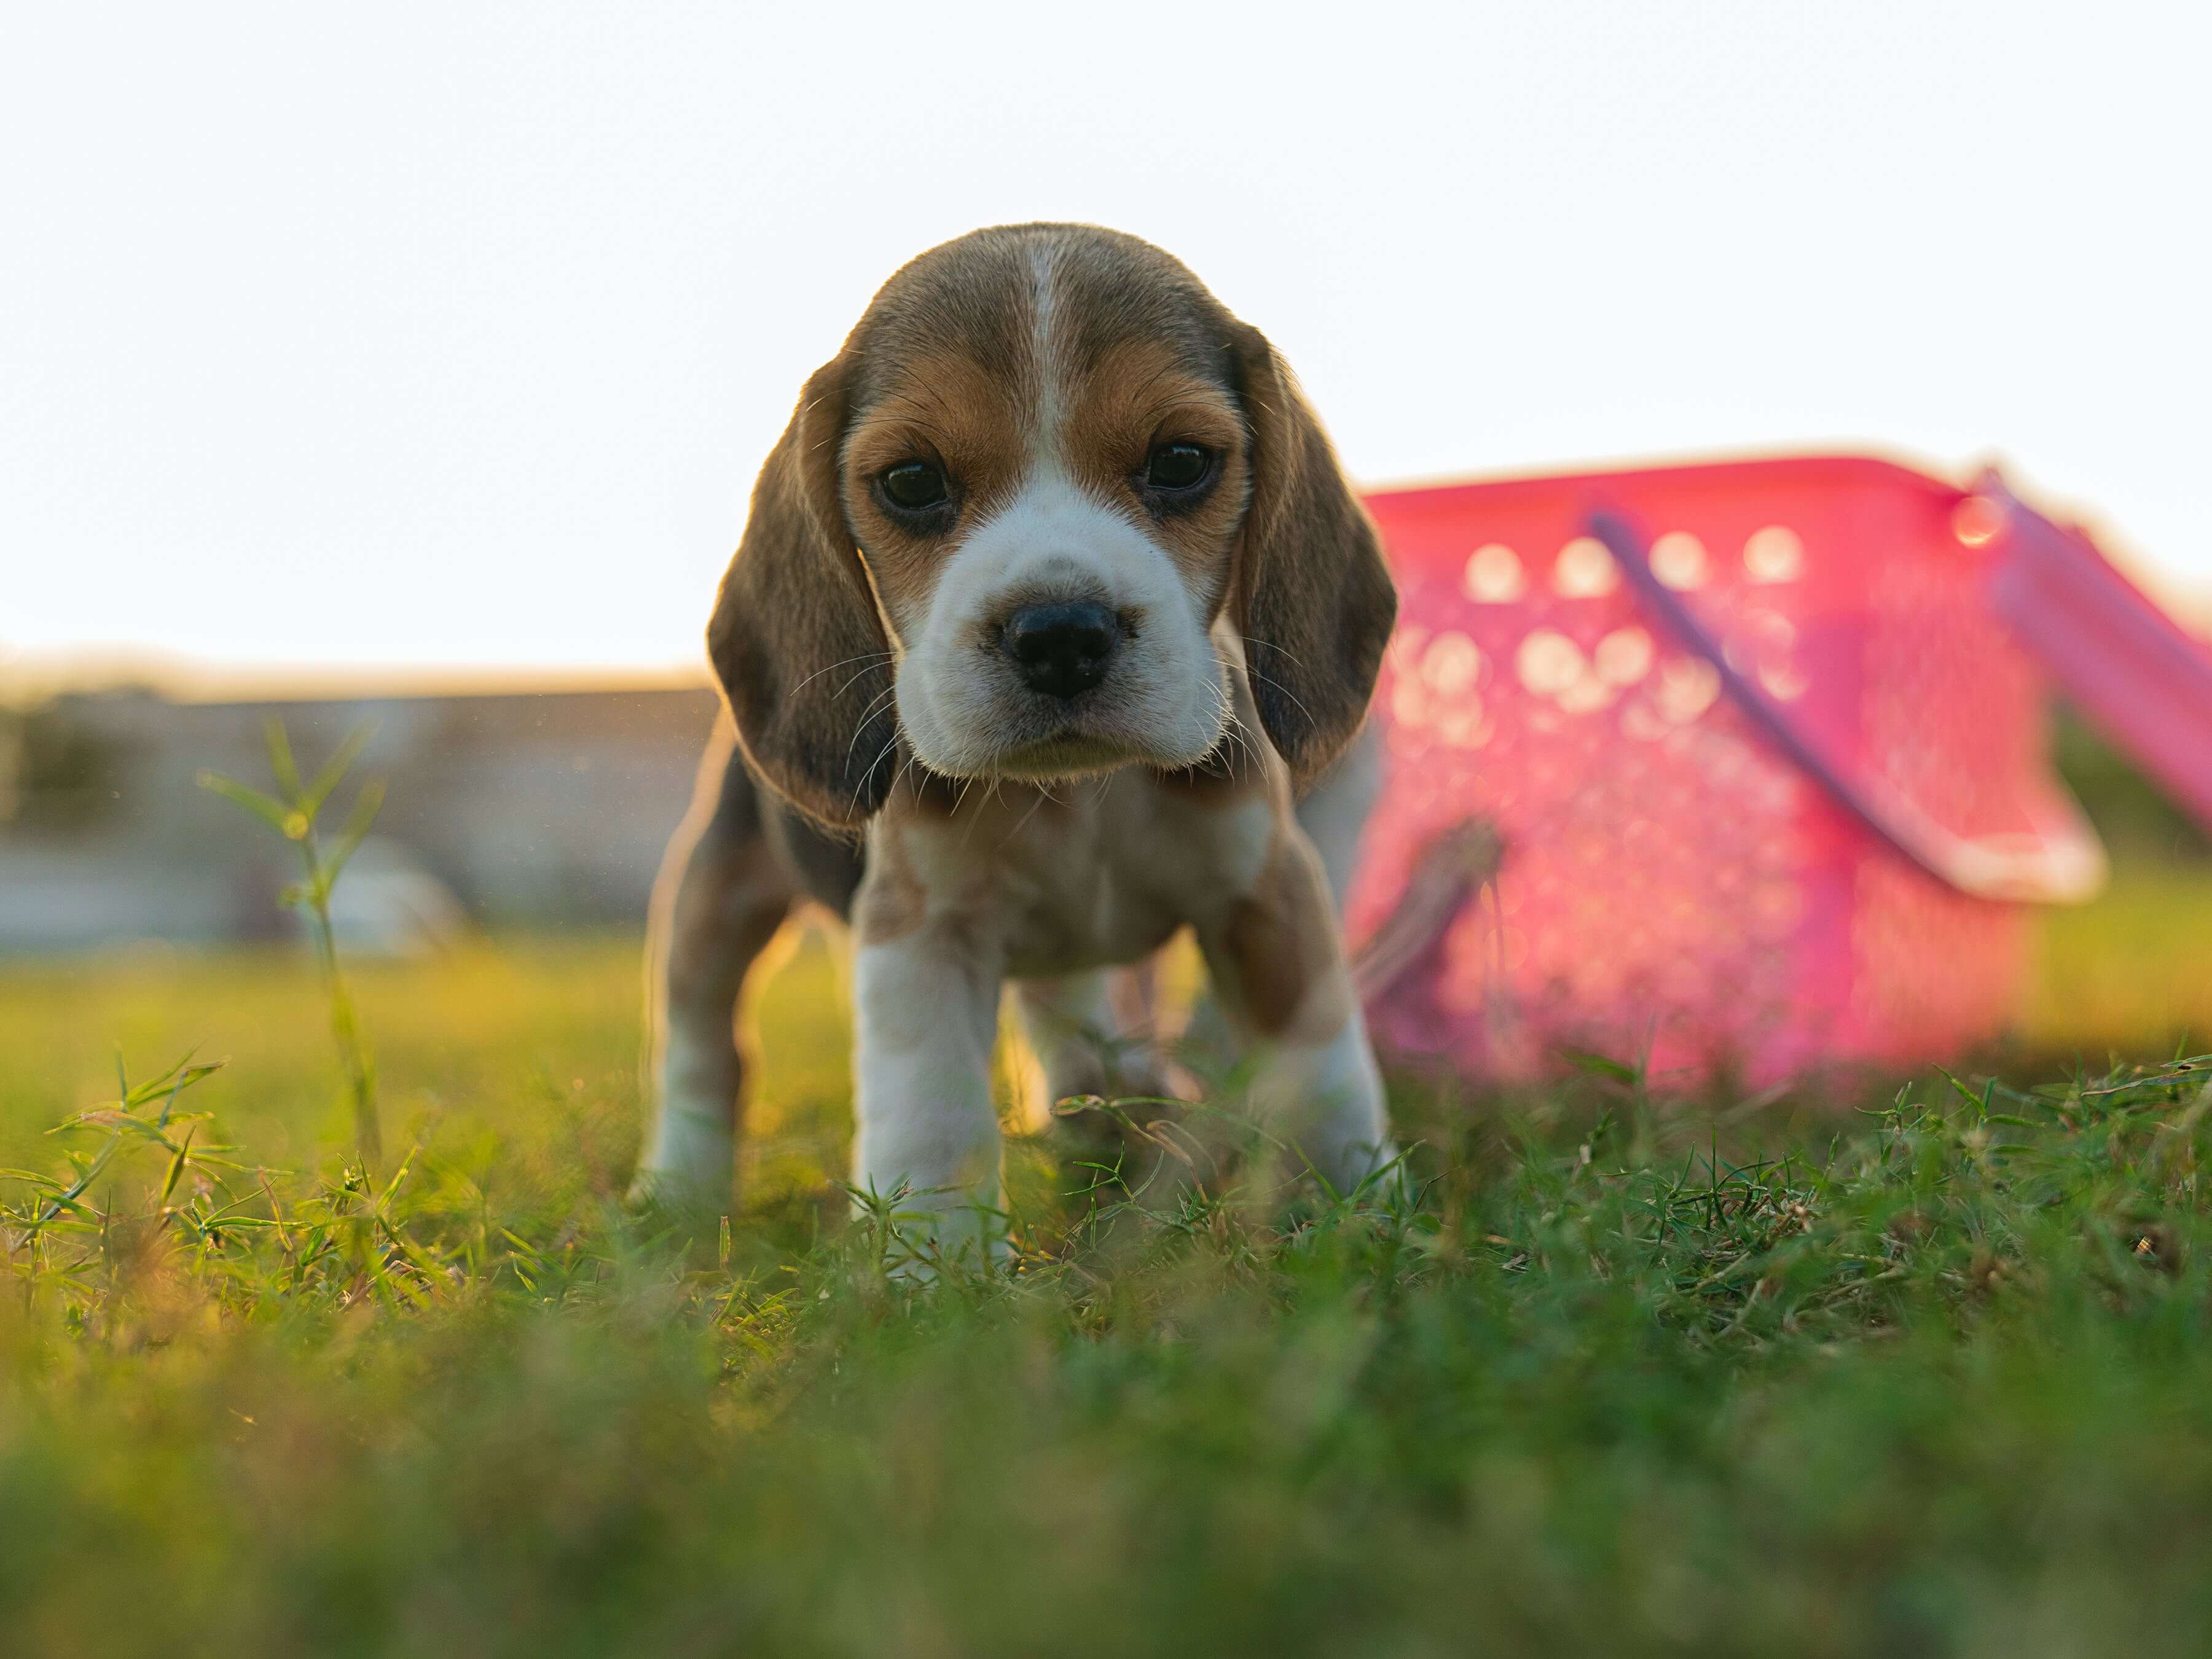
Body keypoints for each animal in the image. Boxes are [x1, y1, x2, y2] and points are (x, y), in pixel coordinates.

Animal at [637, 221, 1398, 1256]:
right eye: (911, 481)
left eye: (1182, 461)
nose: (1062, 634)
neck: (1085, 796)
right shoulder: (919, 932)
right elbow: (934, 1117)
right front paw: (937, 1269)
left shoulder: (1268, 893)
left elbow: (1323, 1065)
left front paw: (1358, 1212)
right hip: (716, 893)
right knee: (704, 1045)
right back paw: (678, 1185)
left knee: (1066, 1014)